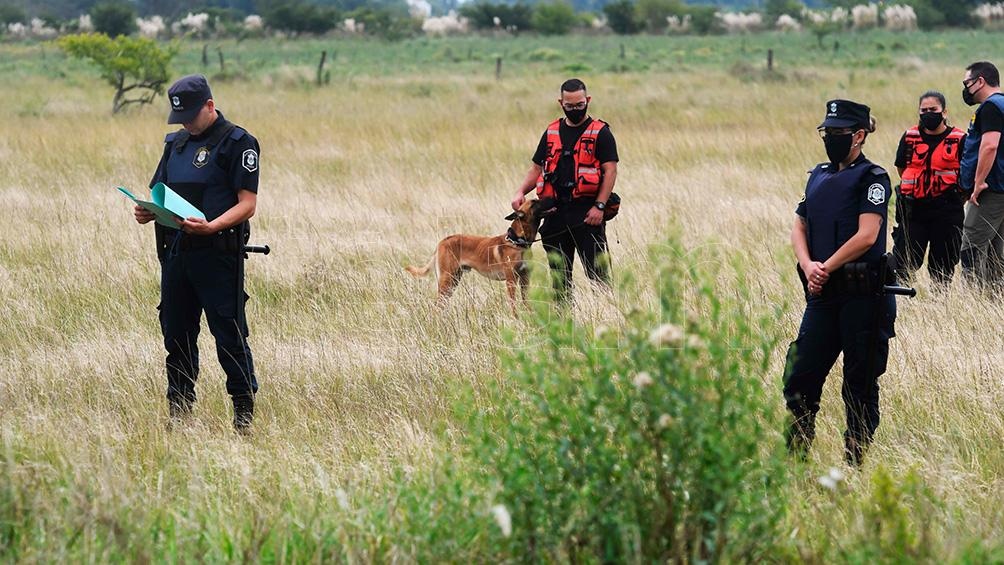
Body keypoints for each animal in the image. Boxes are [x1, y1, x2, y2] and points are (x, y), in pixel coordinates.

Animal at [403, 195, 554, 309]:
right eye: (534, 202)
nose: (552, 197)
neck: (517, 242)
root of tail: (442, 241)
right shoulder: (511, 280)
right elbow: (513, 306)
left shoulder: (525, 278)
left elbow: (526, 302)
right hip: (447, 279)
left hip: (454, 280)